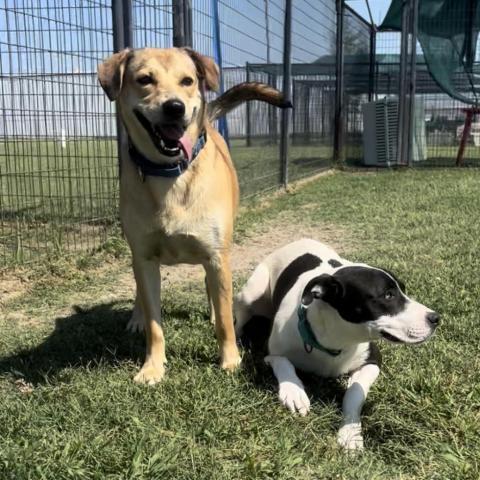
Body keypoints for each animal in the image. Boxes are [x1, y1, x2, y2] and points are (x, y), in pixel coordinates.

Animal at [95, 47, 286, 386]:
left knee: (214, 291)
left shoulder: (216, 255)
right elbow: (154, 322)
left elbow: (224, 319)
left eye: (188, 80)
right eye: (144, 79)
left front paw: (230, 360)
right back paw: (136, 318)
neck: (170, 174)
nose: (174, 107)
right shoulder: (144, 256)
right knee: (140, 291)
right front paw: (152, 367)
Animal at [234, 239, 440, 450]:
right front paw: (294, 391)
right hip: (251, 293)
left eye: (403, 291)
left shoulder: (373, 360)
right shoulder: (270, 353)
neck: (336, 338)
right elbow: (284, 363)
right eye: (388, 295)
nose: (435, 318)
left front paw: (350, 433)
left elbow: (355, 391)